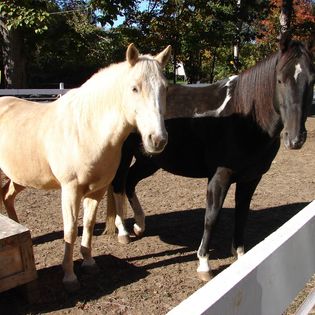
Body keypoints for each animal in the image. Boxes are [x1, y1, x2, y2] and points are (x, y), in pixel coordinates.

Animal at [0, 43, 172, 292]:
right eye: (134, 88)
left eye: (165, 88)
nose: (157, 140)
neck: (87, 130)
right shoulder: (70, 191)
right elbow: (71, 229)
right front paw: (69, 276)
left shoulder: (97, 191)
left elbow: (88, 225)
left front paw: (89, 263)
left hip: (20, 178)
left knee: (7, 196)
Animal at [107, 35, 314, 282]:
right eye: (280, 80)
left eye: (312, 80)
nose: (295, 138)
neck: (245, 118)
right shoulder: (219, 177)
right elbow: (211, 217)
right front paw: (204, 264)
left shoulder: (250, 179)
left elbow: (242, 214)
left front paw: (241, 257)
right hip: (125, 156)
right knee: (118, 184)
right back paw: (123, 231)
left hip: (150, 160)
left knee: (130, 182)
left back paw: (139, 225)